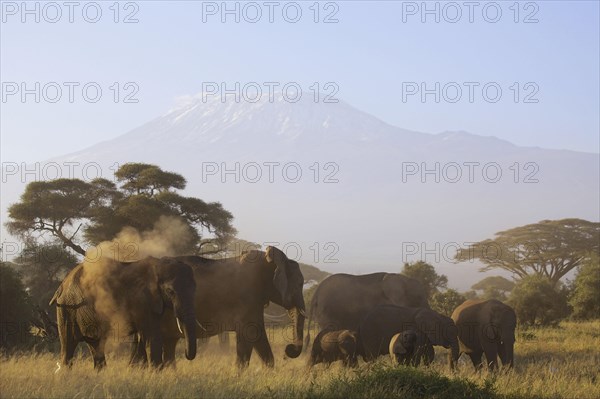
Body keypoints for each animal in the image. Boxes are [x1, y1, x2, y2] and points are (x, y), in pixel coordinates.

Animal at [49, 258, 195, 370]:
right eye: (170, 291)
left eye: (195, 288)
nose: (186, 355)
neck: (158, 267)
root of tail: (61, 285)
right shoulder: (141, 300)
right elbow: (151, 337)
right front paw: (156, 374)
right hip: (67, 308)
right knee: (68, 345)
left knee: (96, 344)